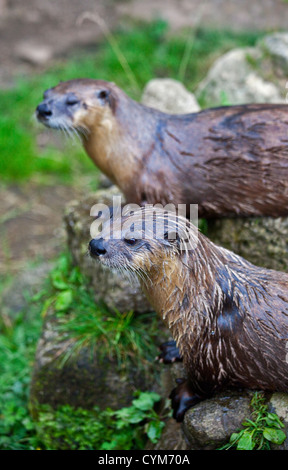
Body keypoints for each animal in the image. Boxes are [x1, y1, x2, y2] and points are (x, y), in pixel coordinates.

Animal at [88, 207, 288, 420]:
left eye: (131, 240)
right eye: (106, 224)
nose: (96, 245)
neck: (205, 299)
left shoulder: (211, 350)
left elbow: (202, 383)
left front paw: (180, 397)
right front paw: (172, 351)